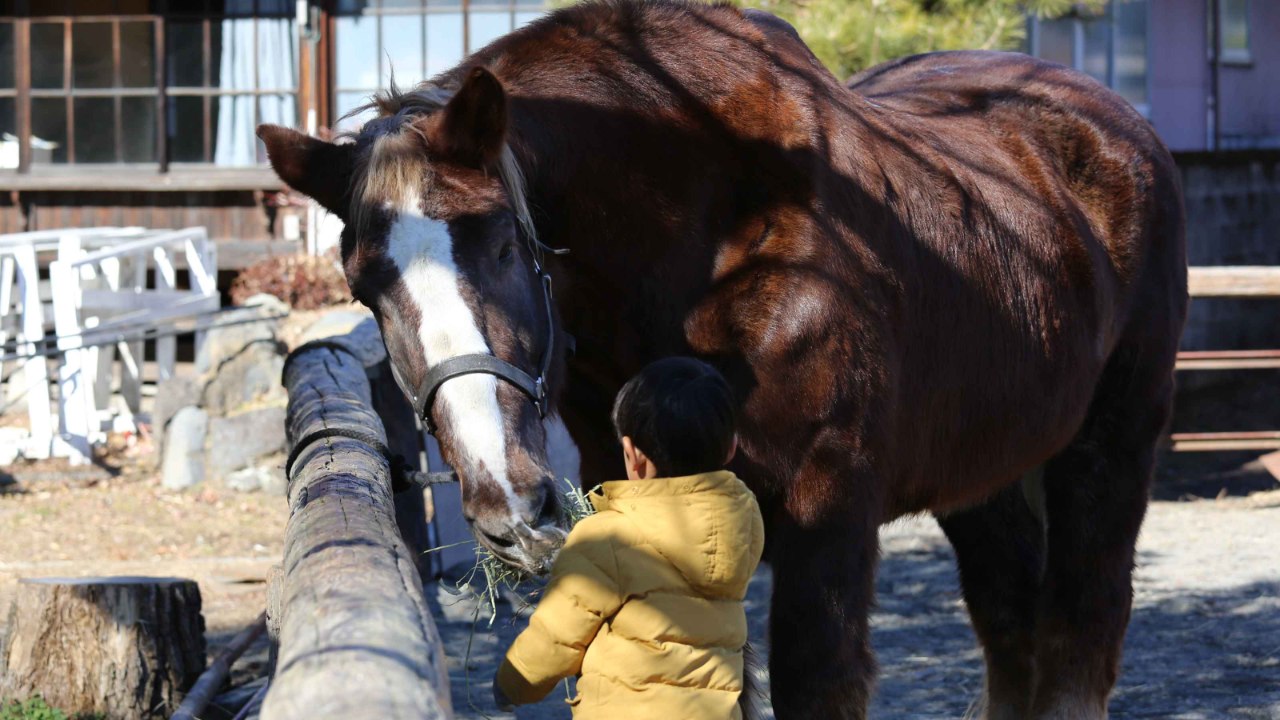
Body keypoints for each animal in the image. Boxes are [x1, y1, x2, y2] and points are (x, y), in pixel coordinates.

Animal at [259, 2, 1187, 712]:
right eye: (364, 285)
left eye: (498, 243)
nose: (506, 501)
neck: (710, 241)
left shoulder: (828, 517)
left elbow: (817, 683)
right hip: (980, 468)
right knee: (1010, 621)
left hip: (1111, 445)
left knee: (1080, 626)